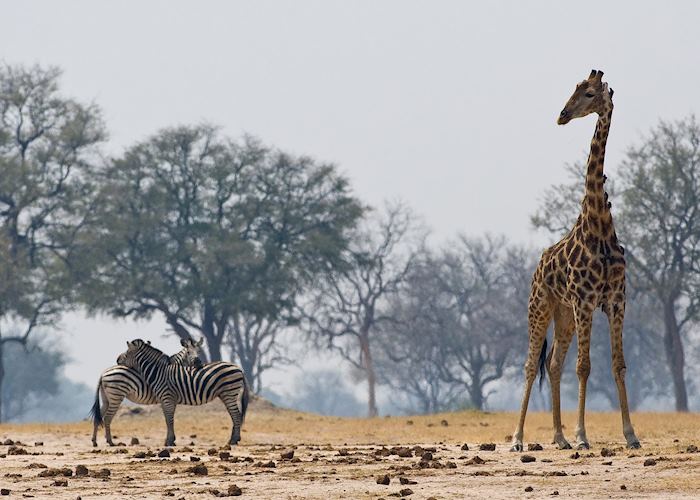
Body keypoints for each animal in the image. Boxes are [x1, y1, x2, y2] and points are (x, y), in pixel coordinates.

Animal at [116, 338, 249, 446]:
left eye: (127, 353)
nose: (117, 360)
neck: (158, 372)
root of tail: (239, 368)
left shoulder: (167, 398)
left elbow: (169, 419)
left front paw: (169, 441)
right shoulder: (166, 400)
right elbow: (168, 418)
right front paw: (171, 440)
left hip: (229, 392)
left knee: (236, 414)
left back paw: (233, 440)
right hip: (225, 394)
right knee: (235, 414)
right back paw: (234, 439)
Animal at [510, 69, 641, 452]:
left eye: (589, 93)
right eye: (575, 89)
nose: (562, 115)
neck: (599, 222)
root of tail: (538, 266)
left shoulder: (616, 300)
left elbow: (618, 364)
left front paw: (630, 435)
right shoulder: (585, 300)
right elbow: (584, 366)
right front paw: (584, 435)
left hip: (564, 314)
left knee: (553, 364)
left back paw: (559, 437)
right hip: (541, 306)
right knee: (530, 365)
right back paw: (519, 439)